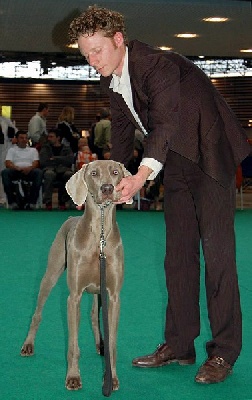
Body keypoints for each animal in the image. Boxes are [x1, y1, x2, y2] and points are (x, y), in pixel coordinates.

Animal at [20, 159, 131, 390]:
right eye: (94, 173)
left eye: (115, 172)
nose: (107, 189)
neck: (99, 236)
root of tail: (72, 216)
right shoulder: (74, 297)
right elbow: (73, 344)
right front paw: (73, 377)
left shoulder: (114, 297)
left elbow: (113, 342)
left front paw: (112, 377)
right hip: (51, 273)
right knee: (37, 313)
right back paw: (28, 345)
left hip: (99, 292)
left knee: (94, 317)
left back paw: (100, 345)